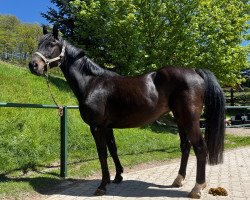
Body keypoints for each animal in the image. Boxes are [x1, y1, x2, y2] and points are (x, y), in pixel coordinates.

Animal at [28, 26, 225, 198]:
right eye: (39, 43)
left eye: (51, 44)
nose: (33, 65)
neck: (93, 83)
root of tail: (195, 71)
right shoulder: (107, 127)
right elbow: (113, 150)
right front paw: (117, 177)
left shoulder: (96, 127)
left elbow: (102, 154)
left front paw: (102, 185)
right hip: (180, 119)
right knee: (185, 147)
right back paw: (178, 180)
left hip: (189, 119)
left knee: (200, 148)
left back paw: (197, 188)